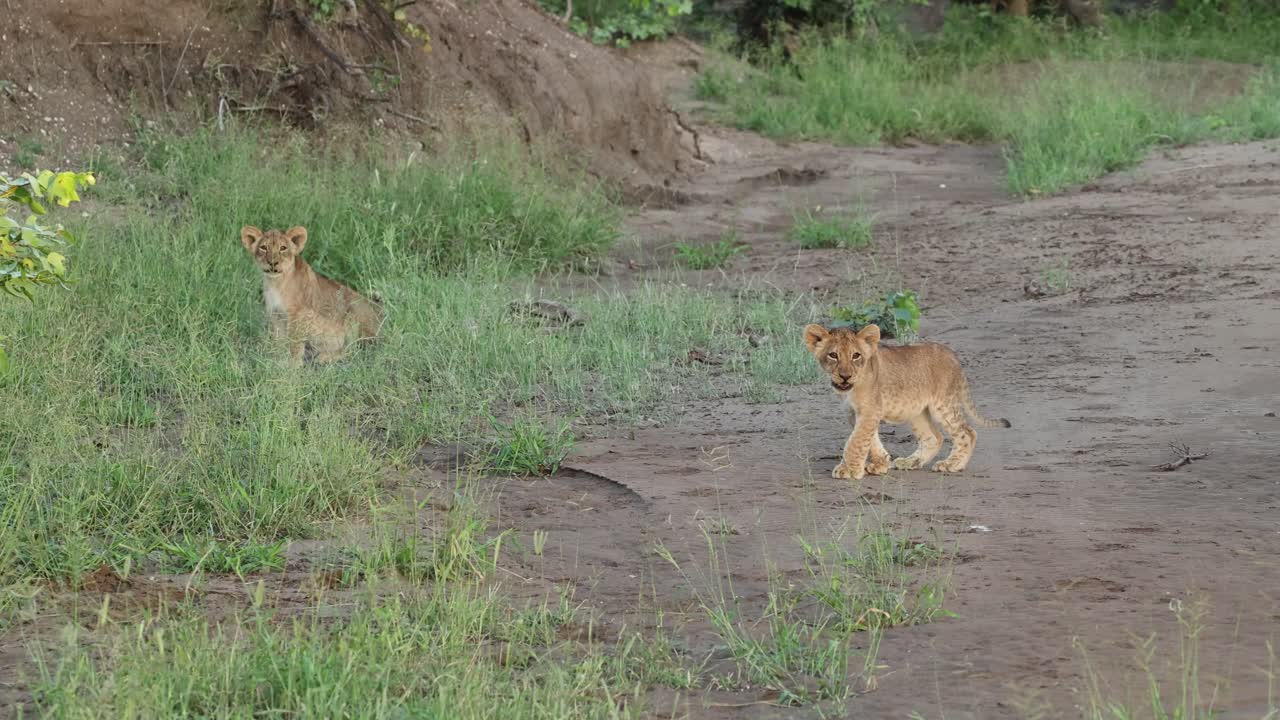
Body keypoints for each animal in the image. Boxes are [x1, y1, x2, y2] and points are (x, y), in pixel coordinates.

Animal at [240, 225, 384, 366]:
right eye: (263, 247)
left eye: (283, 248)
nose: (273, 262)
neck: (276, 283)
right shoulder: (276, 314)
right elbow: (279, 340)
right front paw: (276, 358)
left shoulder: (298, 315)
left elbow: (294, 342)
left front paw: (293, 365)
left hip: (353, 314)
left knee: (358, 350)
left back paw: (324, 358)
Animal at [803, 323, 1010, 481]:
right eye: (833, 355)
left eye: (856, 355)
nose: (845, 376)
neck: (849, 390)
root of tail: (952, 354)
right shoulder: (854, 413)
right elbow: (869, 439)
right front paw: (881, 463)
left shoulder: (870, 410)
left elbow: (856, 441)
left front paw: (850, 469)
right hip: (917, 410)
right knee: (934, 437)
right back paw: (910, 462)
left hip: (943, 404)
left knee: (967, 432)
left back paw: (952, 464)